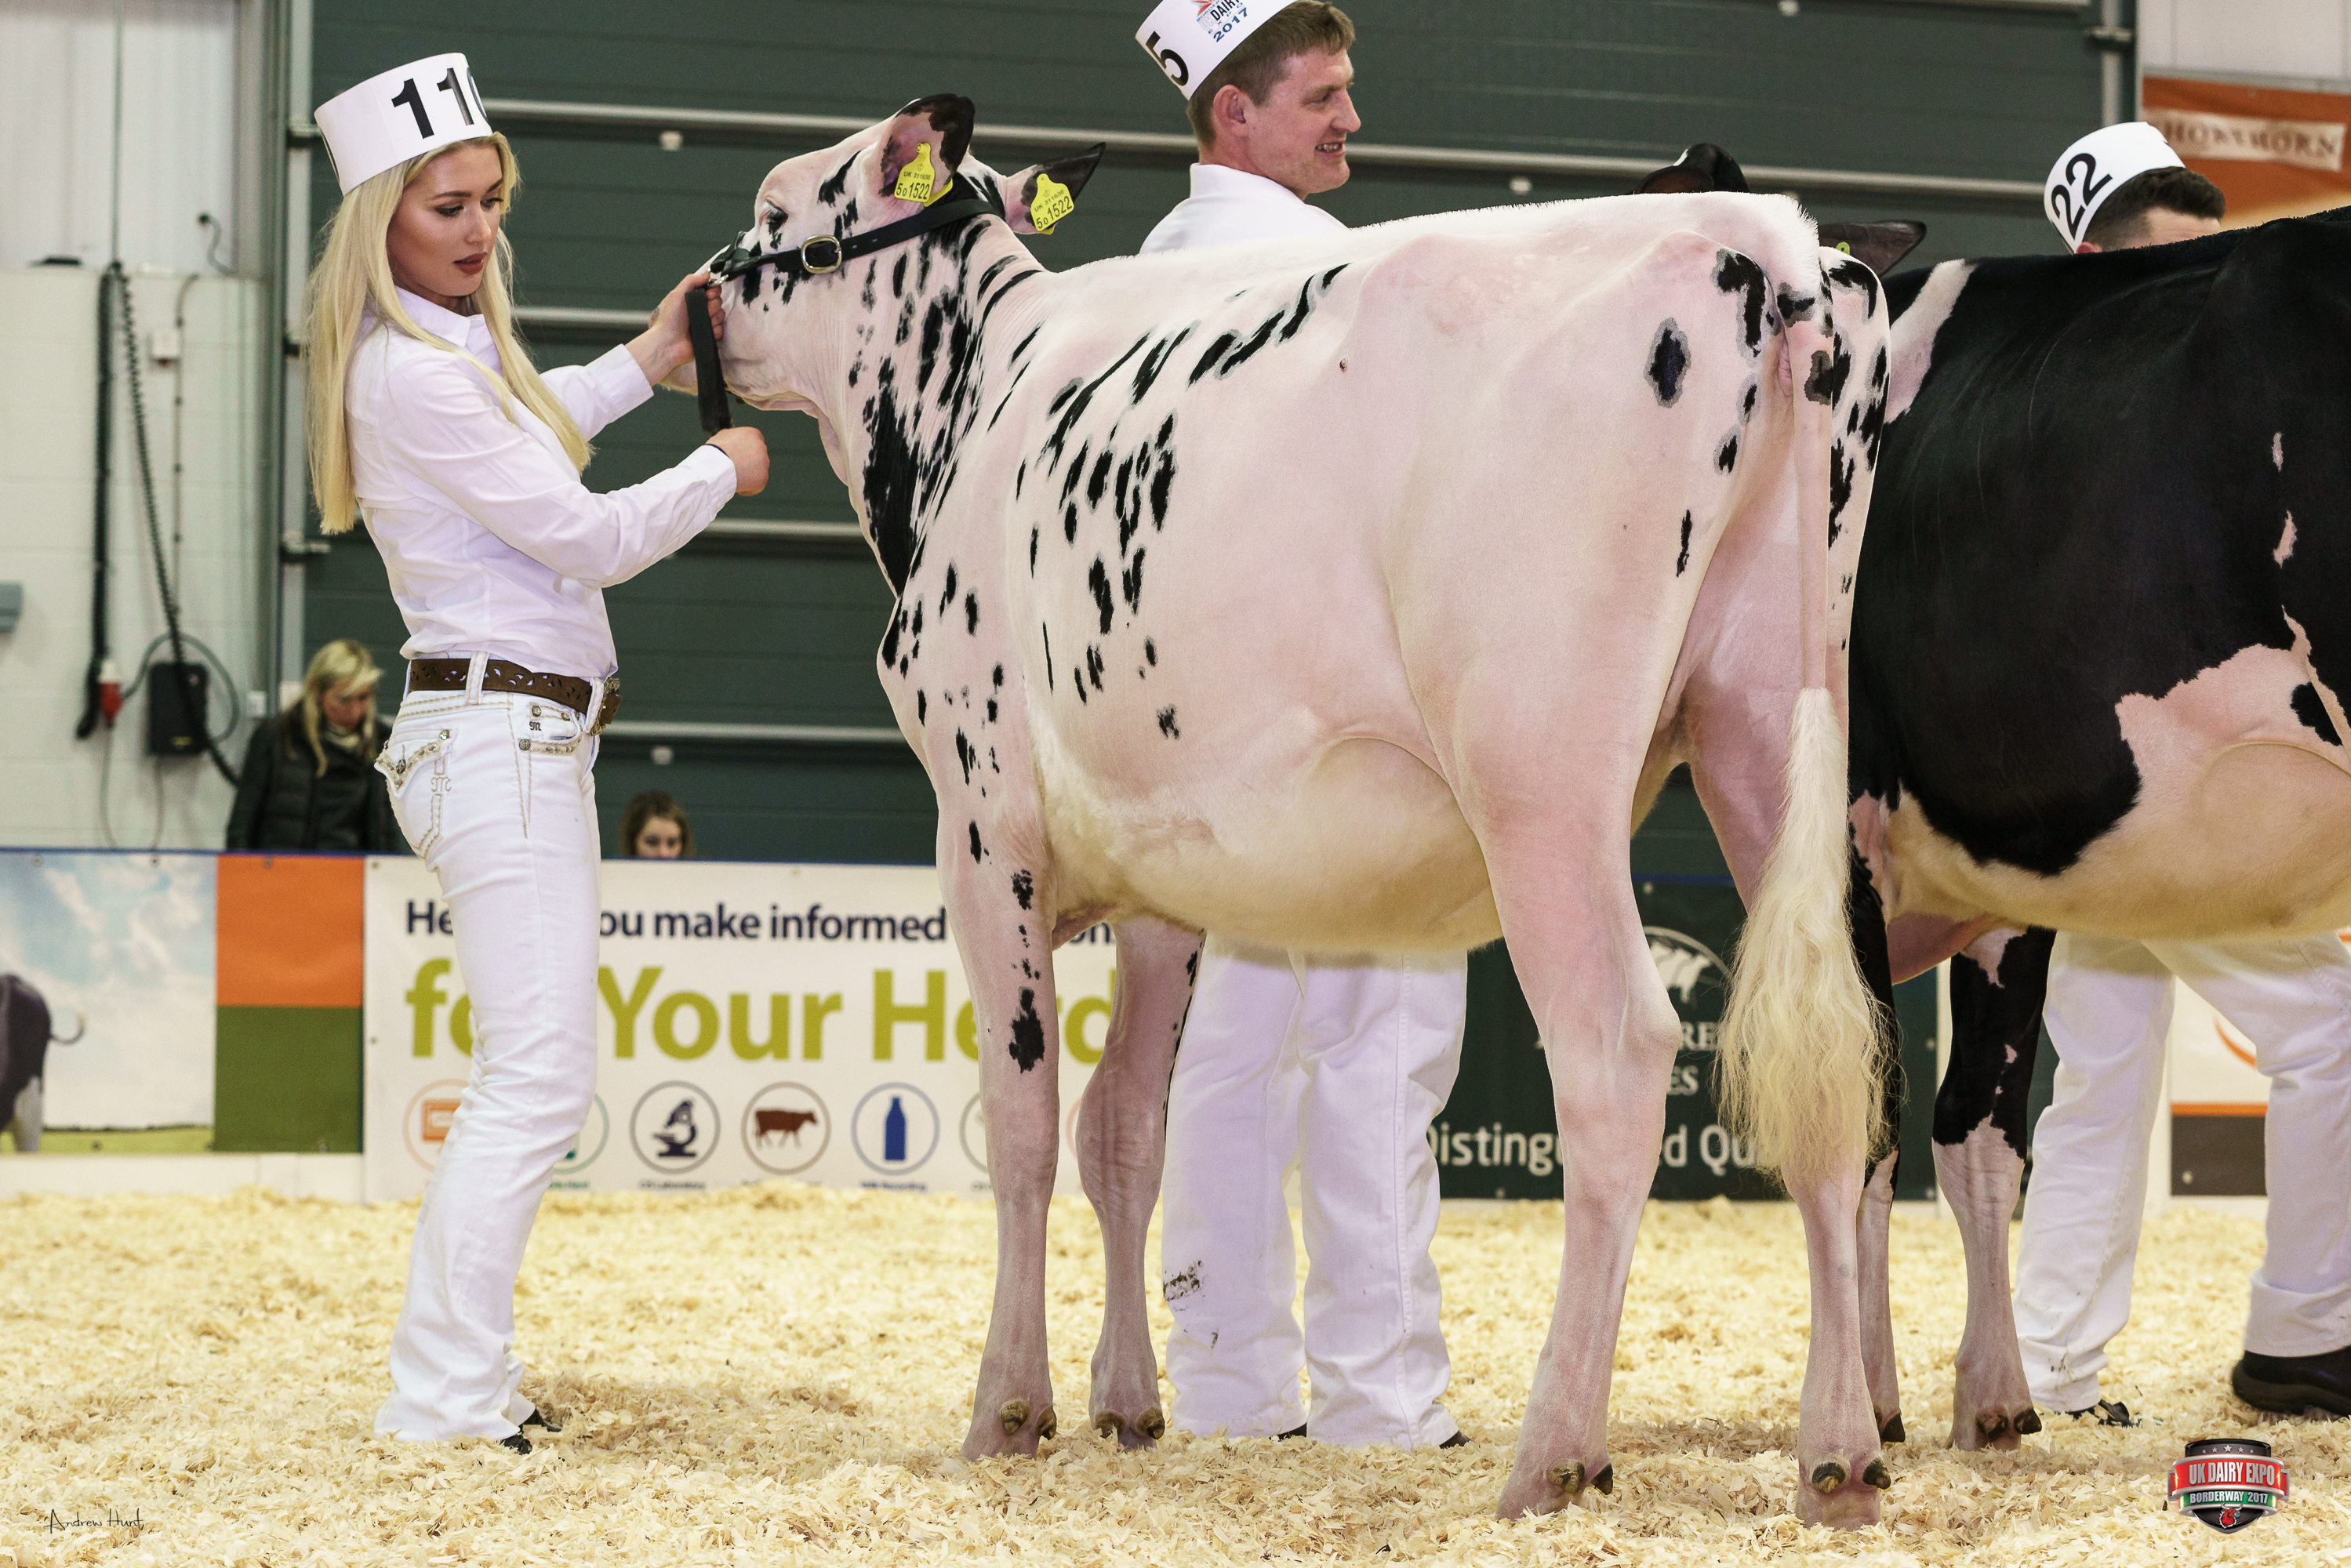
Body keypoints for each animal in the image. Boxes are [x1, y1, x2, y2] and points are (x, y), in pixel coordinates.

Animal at [688, 94, 1899, 1524]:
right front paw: (1125, 1403)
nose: (701, 295)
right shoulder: (1159, 878)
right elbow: (1124, 1129)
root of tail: (1758, 239)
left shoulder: (979, 822)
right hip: (1764, 732)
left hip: (1538, 777)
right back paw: (1837, 1452)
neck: (975, 404)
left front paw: (1008, 1409)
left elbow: (1025, 1123)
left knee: (1616, 1055)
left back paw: (1552, 1451)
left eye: (775, 210)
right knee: (1836, 1067)